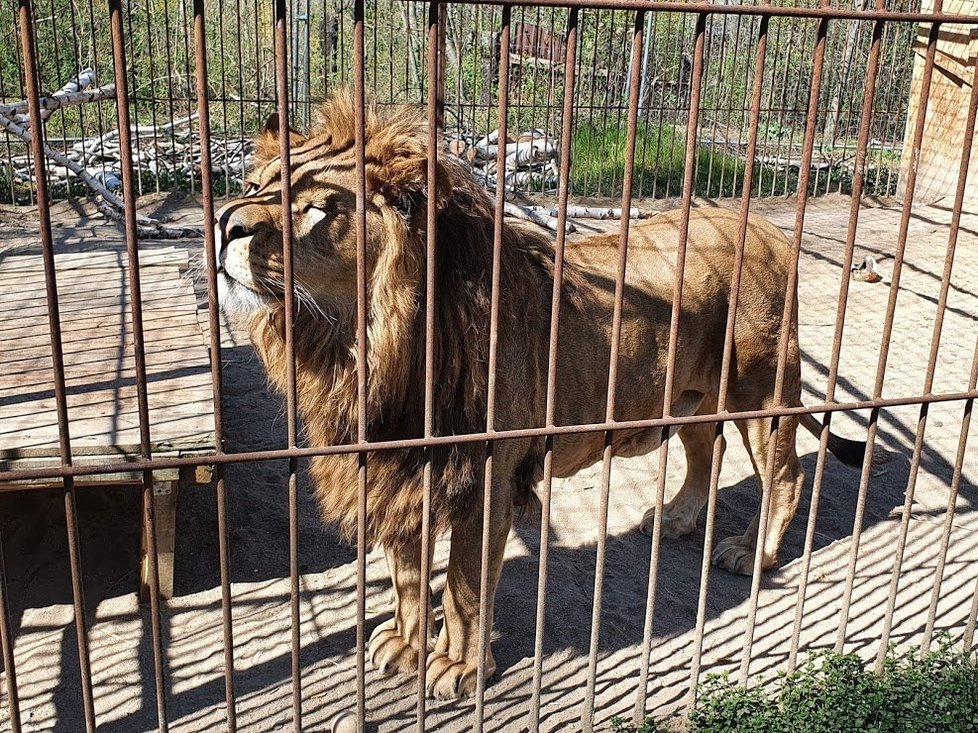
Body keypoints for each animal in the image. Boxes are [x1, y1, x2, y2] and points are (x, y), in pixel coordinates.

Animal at [215, 94, 860, 700]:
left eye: (316, 207)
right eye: (251, 187)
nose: (224, 224)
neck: (357, 347)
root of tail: (770, 229)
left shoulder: (485, 477)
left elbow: (465, 586)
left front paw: (458, 668)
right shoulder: (397, 468)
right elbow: (406, 572)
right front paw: (405, 645)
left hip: (760, 388)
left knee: (786, 474)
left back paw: (752, 553)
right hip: (693, 393)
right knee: (708, 451)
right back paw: (674, 518)